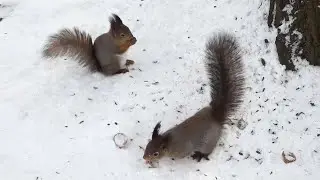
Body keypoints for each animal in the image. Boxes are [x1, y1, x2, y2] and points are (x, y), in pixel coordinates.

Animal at [142, 31, 245, 164]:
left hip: (208, 142)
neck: (169, 143)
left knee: (207, 150)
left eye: (156, 154)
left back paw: (200, 155)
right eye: (147, 145)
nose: (144, 157)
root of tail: (217, 116)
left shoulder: (183, 149)